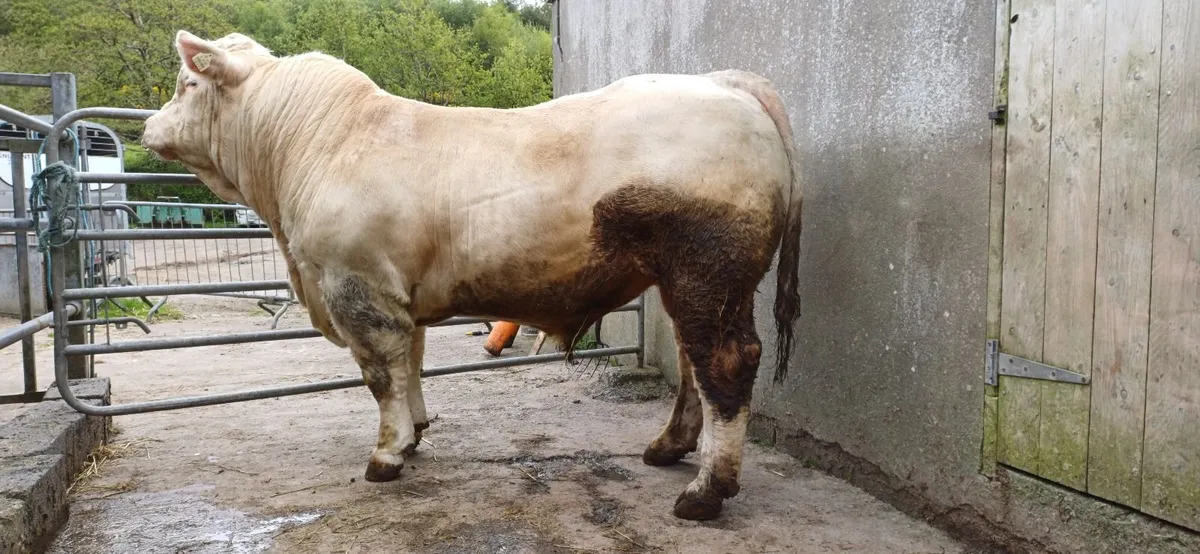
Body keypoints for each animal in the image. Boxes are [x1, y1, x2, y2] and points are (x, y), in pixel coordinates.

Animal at [141, 30, 803, 521]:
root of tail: (724, 82)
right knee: (694, 364)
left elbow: (379, 375)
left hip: (708, 272)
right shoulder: (396, 296)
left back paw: (705, 493)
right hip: (688, 282)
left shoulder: (356, 286)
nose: (147, 127)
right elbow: (410, 363)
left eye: (184, 84)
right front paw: (415, 432)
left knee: (723, 364)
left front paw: (386, 455)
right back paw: (668, 449)